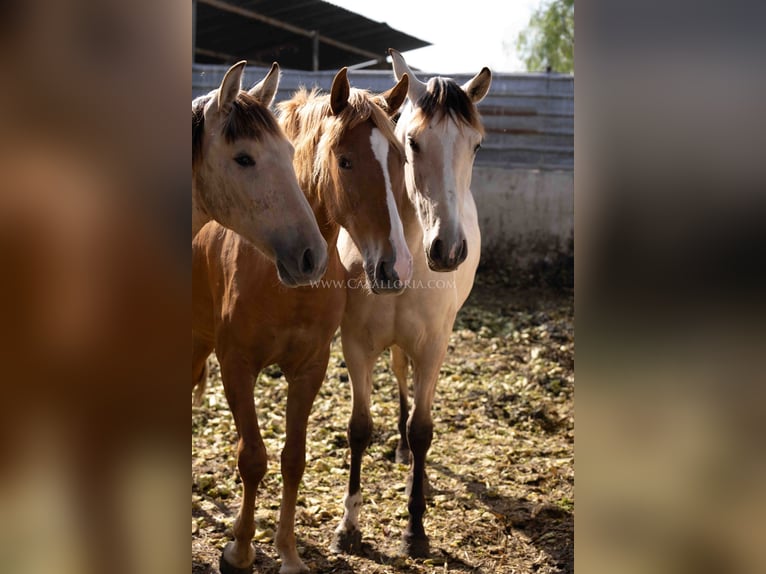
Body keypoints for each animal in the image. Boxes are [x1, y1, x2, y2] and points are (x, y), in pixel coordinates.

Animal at [332, 48, 492, 560]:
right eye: (413, 143)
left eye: (475, 146)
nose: (449, 250)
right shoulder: (356, 345)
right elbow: (359, 427)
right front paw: (348, 526)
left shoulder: (433, 345)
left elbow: (424, 429)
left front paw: (416, 528)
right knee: (400, 378)